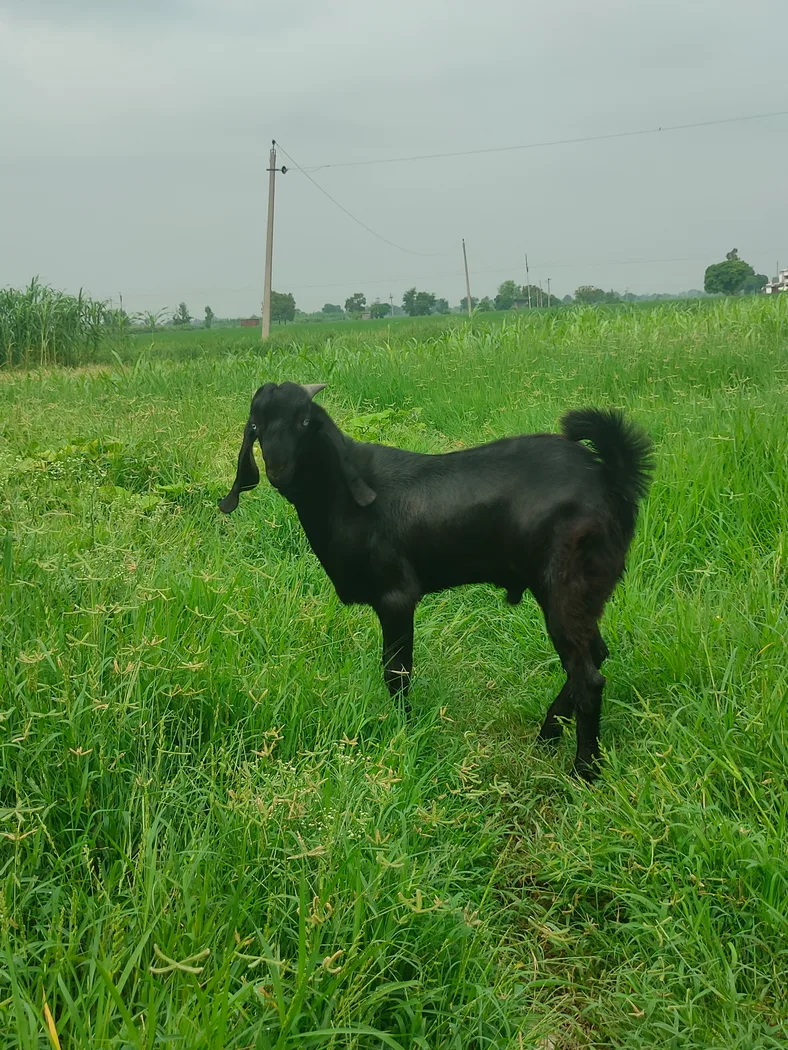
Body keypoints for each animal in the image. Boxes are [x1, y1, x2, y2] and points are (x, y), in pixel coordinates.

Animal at [219, 382, 653, 781]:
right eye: (256, 425)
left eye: (305, 421)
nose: (278, 471)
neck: (341, 498)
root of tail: (612, 476)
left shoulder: (395, 596)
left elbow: (396, 672)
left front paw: (405, 732)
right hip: (586, 591)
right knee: (595, 656)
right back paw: (547, 737)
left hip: (565, 586)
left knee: (588, 677)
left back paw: (584, 770)